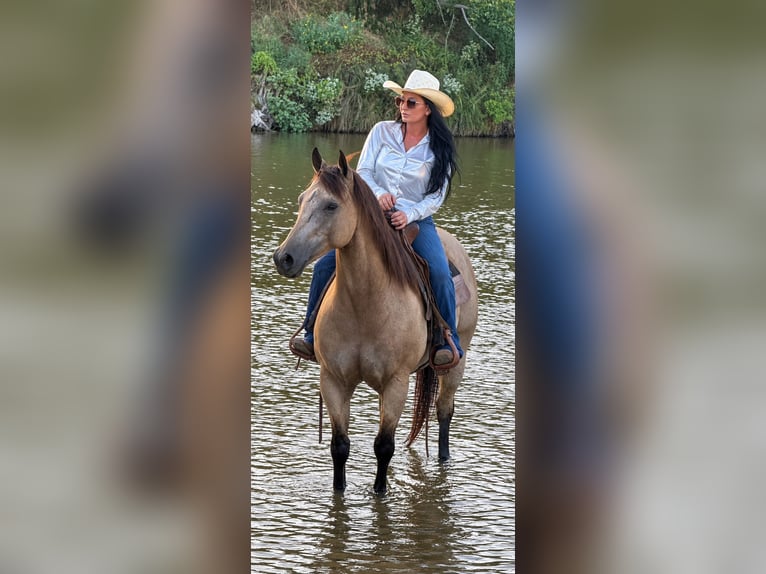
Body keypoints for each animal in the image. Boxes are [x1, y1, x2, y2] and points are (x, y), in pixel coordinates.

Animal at [273, 148, 478, 494]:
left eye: (331, 205)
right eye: (302, 199)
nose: (283, 258)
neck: (366, 304)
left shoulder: (396, 383)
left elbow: (383, 447)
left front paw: (380, 492)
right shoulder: (333, 380)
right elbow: (339, 446)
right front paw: (340, 490)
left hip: (456, 363)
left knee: (444, 412)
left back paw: (444, 458)